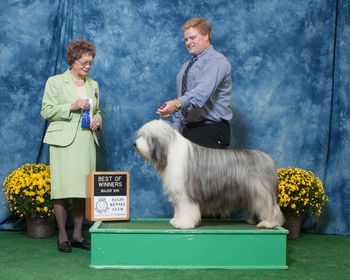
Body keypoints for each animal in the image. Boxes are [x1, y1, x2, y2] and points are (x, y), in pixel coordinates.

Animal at [134, 119, 284, 229]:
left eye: (146, 137)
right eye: (140, 135)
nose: (135, 144)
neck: (169, 151)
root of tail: (266, 158)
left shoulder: (185, 193)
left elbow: (186, 209)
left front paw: (183, 224)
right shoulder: (179, 194)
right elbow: (180, 209)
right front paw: (176, 221)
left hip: (259, 191)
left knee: (270, 206)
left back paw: (269, 222)